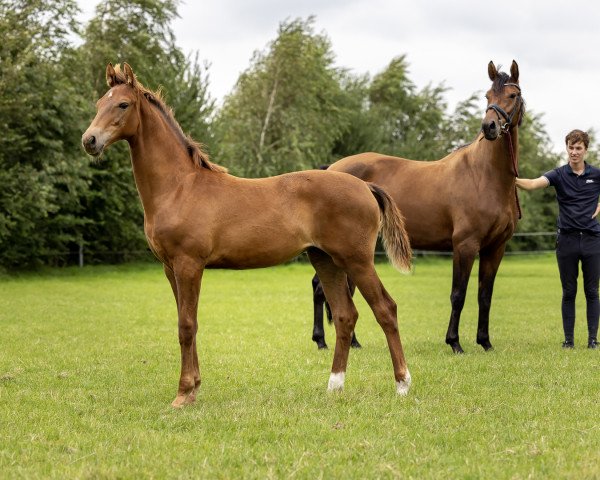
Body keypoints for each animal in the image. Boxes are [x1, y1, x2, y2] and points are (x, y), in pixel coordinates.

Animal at [82, 62, 414, 404]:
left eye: (123, 104)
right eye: (99, 103)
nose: (89, 140)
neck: (180, 187)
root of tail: (366, 186)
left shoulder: (189, 265)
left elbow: (186, 325)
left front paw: (183, 394)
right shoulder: (169, 268)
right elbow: (187, 324)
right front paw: (194, 388)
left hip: (357, 260)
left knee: (386, 309)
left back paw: (402, 384)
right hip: (325, 260)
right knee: (346, 315)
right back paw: (334, 386)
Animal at [312, 60, 524, 352]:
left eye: (512, 95)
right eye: (487, 96)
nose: (489, 127)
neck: (484, 175)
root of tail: (331, 169)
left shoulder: (495, 248)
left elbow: (485, 295)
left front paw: (485, 342)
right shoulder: (465, 245)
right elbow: (458, 294)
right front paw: (455, 343)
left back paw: (350, 342)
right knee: (324, 289)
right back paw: (323, 341)